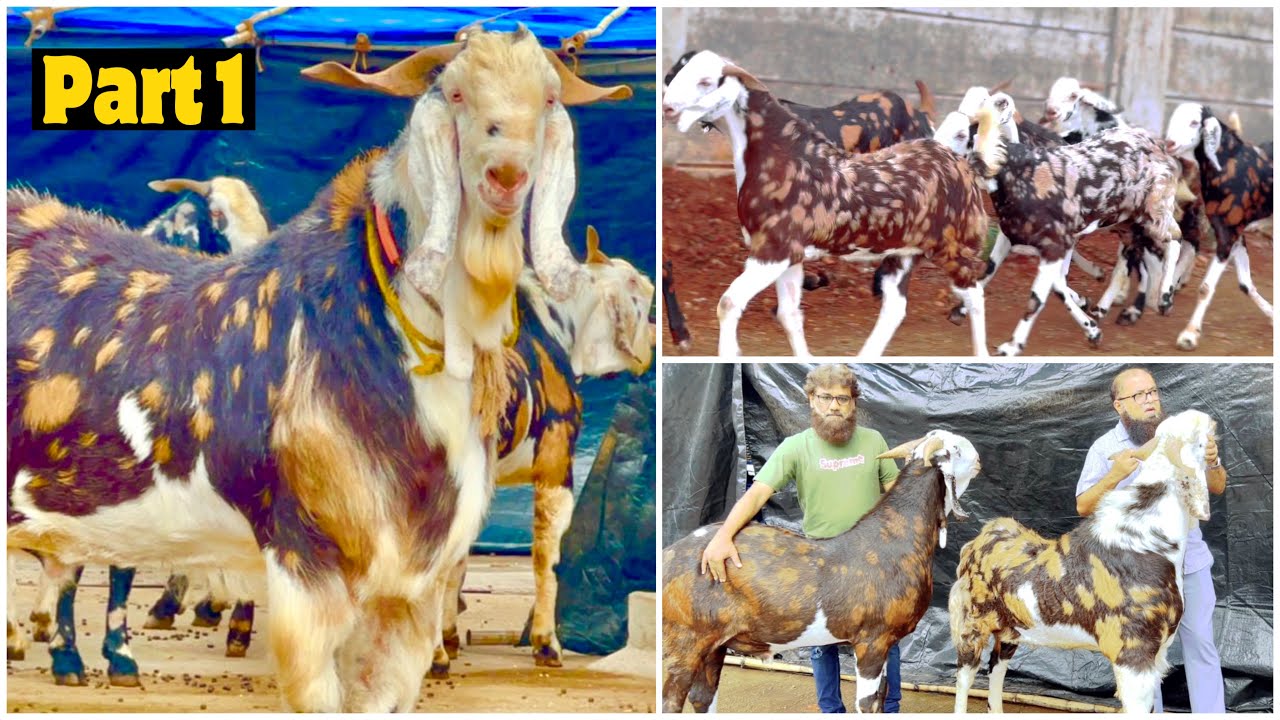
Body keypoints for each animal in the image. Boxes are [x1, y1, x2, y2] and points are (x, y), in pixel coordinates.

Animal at [667, 56, 1000, 357]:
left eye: (706, 81)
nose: (668, 107)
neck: (785, 158)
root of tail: (963, 164)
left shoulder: (773, 250)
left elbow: (729, 303)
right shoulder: (791, 256)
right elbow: (789, 315)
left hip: (954, 246)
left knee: (975, 294)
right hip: (904, 253)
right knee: (895, 308)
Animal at [950, 409, 1216, 713]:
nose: (1205, 415)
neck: (1146, 539)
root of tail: (976, 542)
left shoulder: (1155, 654)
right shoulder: (1133, 654)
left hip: (1009, 630)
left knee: (996, 669)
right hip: (971, 626)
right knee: (964, 680)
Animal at [1165, 103, 1274, 350]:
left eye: (1195, 122)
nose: (1169, 144)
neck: (1229, 166)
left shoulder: (1227, 235)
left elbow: (1205, 288)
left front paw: (1189, 335)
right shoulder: (1234, 233)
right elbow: (1245, 284)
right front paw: (1273, 315)